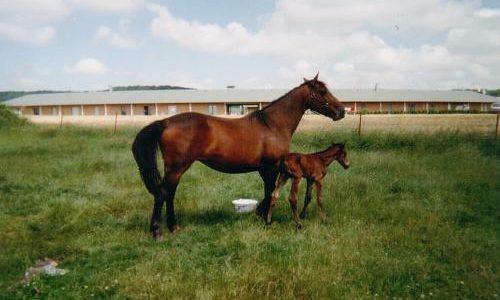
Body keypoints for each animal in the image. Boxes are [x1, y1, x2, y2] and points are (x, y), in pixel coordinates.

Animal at [133, 74, 344, 239]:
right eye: (322, 91)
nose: (341, 111)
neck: (271, 125)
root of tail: (166, 122)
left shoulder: (266, 169)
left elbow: (268, 193)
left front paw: (260, 215)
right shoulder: (271, 168)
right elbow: (269, 193)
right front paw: (264, 219)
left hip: (176, 169)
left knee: (170, 193)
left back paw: (173, 227)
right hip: (177, 167)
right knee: (163, 193)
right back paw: (157, 231)